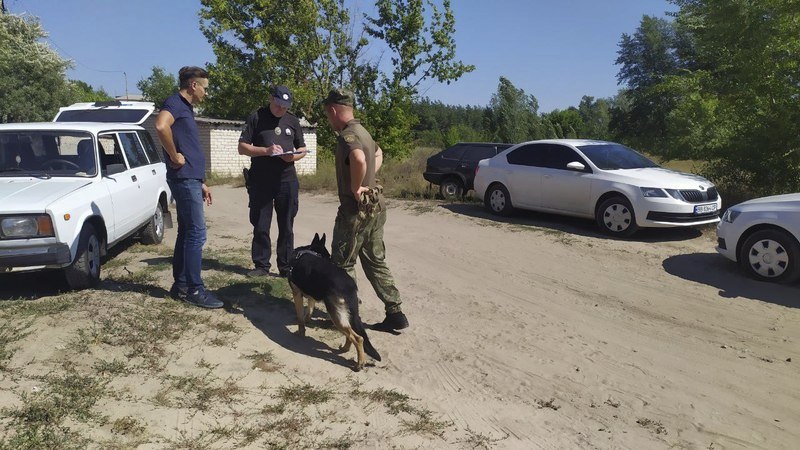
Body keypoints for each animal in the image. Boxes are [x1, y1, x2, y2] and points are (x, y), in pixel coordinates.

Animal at [288, 234, 382, 370]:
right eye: (328, 256)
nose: (334, 262)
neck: (308, 252)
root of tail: (350, 286)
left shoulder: (296, 294)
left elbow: (300, 317)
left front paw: (301, 333)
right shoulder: (311, 297)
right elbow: (309, 311)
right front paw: (307, 320)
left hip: (335, 314)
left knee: (358, 338)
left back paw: (359, 363)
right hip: (344, 315)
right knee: (350, 334)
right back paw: (345, 349)